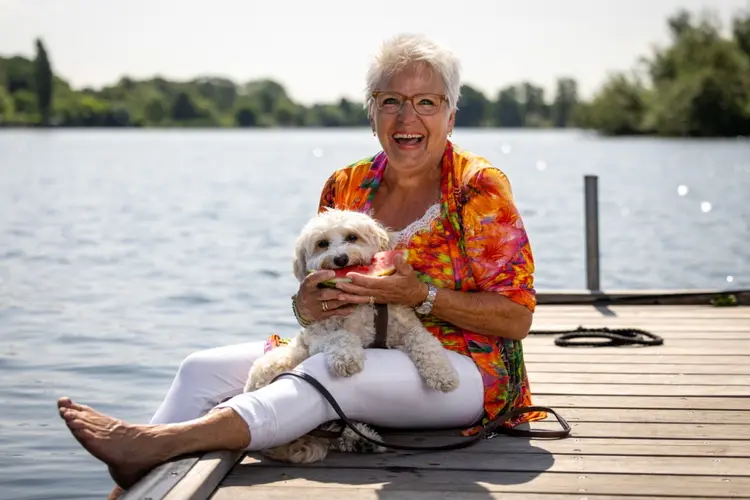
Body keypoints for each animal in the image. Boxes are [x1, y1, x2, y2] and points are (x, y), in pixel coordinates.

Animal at [244, 208, 462, 464]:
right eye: (322, 243)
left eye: (352, 237)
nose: (340, 260)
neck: (363, 305)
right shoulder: (320, 336)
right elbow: (341, 336)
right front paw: (347, 359)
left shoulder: (406, 328)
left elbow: (425, 342)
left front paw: (442, 374)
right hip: (274, 367)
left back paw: (361, 440)